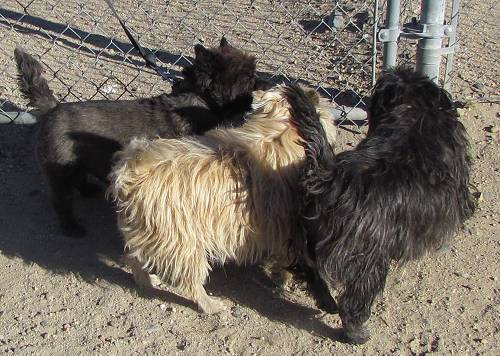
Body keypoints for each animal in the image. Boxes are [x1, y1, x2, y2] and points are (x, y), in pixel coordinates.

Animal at [13, 38, 268, 236]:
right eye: (247, 78)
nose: (266, 84)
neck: (199, 99)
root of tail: (52, 109)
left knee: (79, 179)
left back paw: (89, 190)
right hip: (60, 173)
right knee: (62, 201)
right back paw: (71, 227)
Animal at [109, 85, 336, 312]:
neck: (280, 127)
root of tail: (132, 171)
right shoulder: (288, 226)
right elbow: (288, 259)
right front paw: (285, 278)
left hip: (148, 232)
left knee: (134, 256)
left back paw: (146, 281)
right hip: (183, 243)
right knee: (189, 281)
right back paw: (210, 305)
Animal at [288, 67, 474, 344]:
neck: (413, 108)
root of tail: (329, 177)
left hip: (310, 242)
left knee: (311, 272)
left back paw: (325, 301)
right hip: (367, 263)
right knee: (352, 303)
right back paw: (356, 333)